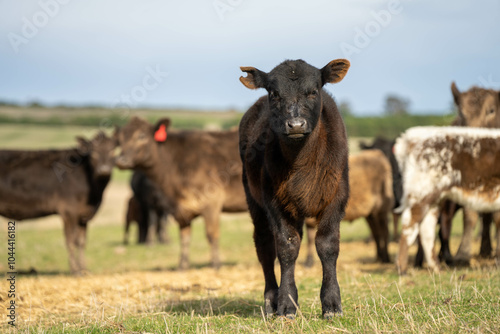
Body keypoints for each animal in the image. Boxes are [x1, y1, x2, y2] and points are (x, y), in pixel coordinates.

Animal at [0, 131, 116, 274]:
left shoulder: (83, 215)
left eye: (113, 151)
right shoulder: (69, 211)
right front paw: (75, 271)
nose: (104, 170)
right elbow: (71, 241)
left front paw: (84, 269)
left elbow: (81, 242)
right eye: (93, 152)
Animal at [117, 117, 250, 268]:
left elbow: (212, 234)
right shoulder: (181, 210)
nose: (120, 160)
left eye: (141, 136)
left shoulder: (212, 202)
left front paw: (216, 264)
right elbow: (184, 237)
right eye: (119, 140)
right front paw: (182, 265)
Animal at [239, 58, 350, 318]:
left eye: (313, 91)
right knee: (265, 247)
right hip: (254, 201)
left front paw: (332, 303)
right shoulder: (273, 201)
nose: (296, 124)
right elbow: (287, 246)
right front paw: (286, 303)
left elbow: (327, 245)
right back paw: (271, 300)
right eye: (274, 93)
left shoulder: (337, 196)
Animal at [394, 125, 500, 274]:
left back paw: (436, 268)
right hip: (422, 193)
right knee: (410, 225)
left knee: (427, 229)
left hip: (434, 199)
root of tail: (413, 135)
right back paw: (402, 268)